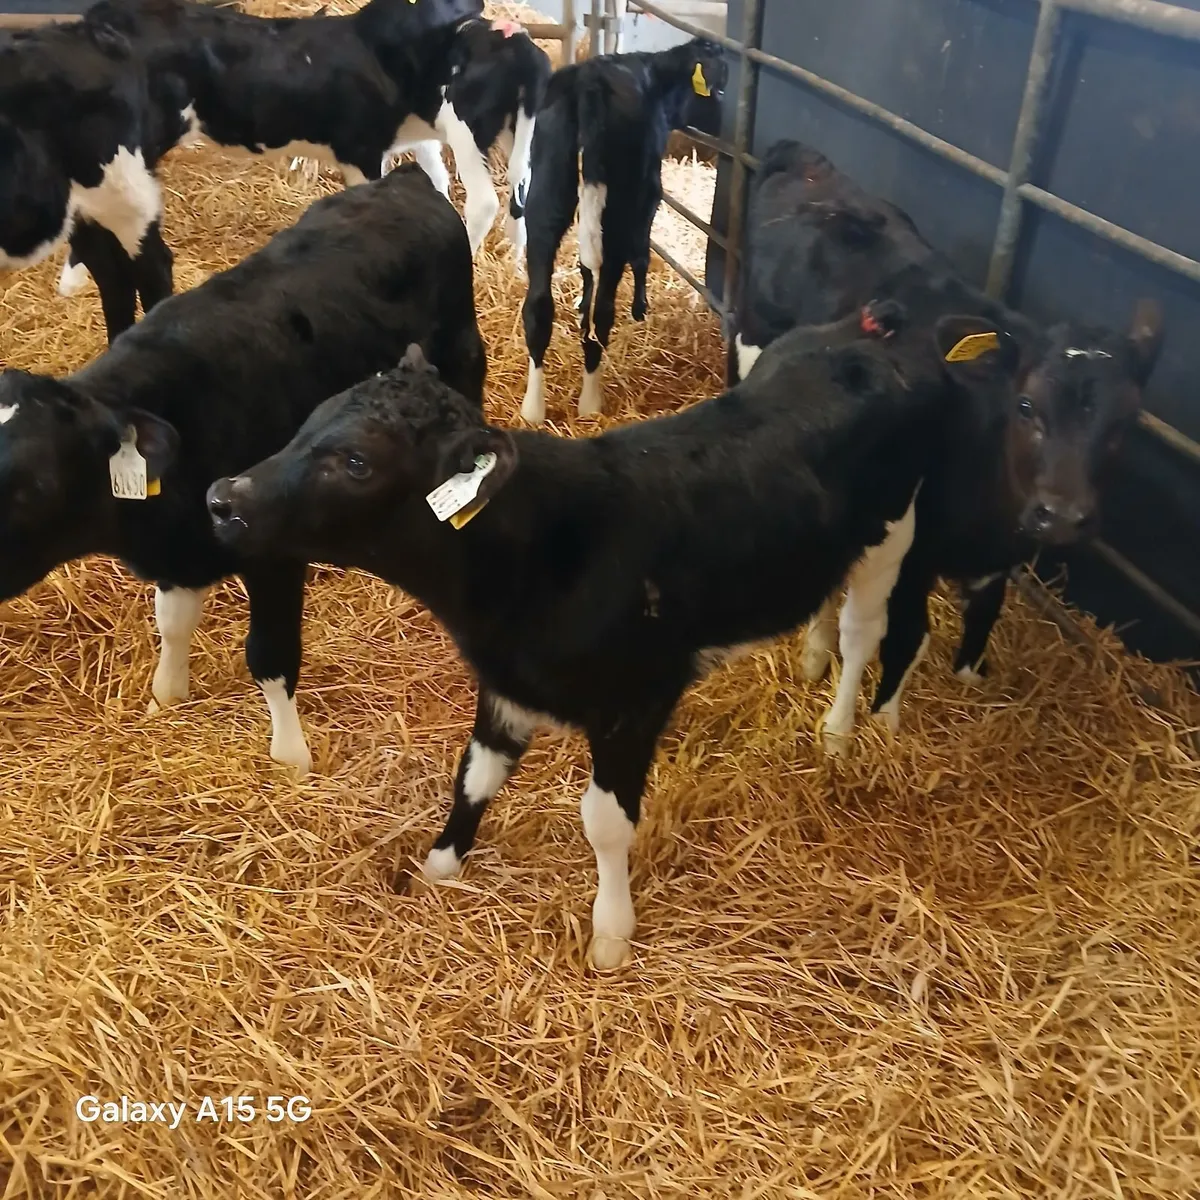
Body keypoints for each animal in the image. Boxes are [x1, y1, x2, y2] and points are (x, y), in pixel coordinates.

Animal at [0, 165, 485, 776]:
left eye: (34, 484)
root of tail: (403, 178)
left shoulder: (269, 544)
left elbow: (270, 657)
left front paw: (291, 758)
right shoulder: (180, 549)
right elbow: (172, 622)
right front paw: (166, 696)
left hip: (464, 366)